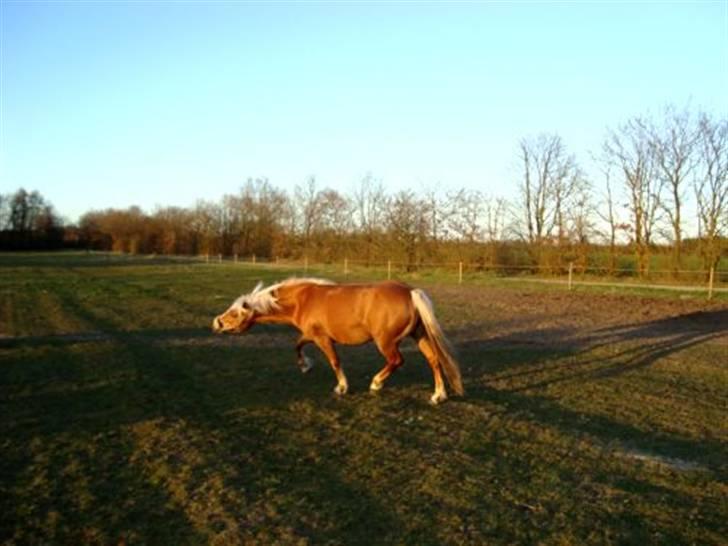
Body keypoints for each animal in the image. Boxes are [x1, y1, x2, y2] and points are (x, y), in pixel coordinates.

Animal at [210, 278, 464, 402]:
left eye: (234, 313)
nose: (216, 323)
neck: (302, 299)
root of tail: (410, 292)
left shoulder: (322, 338)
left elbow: (334, 361)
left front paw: (341, 387)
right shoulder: (311, 334)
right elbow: (297, 345)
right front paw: (305, 366)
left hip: (385, 341)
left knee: (397, 360)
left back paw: (376, 383)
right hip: (419, 335)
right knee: (434, 360)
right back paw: (438, 395)